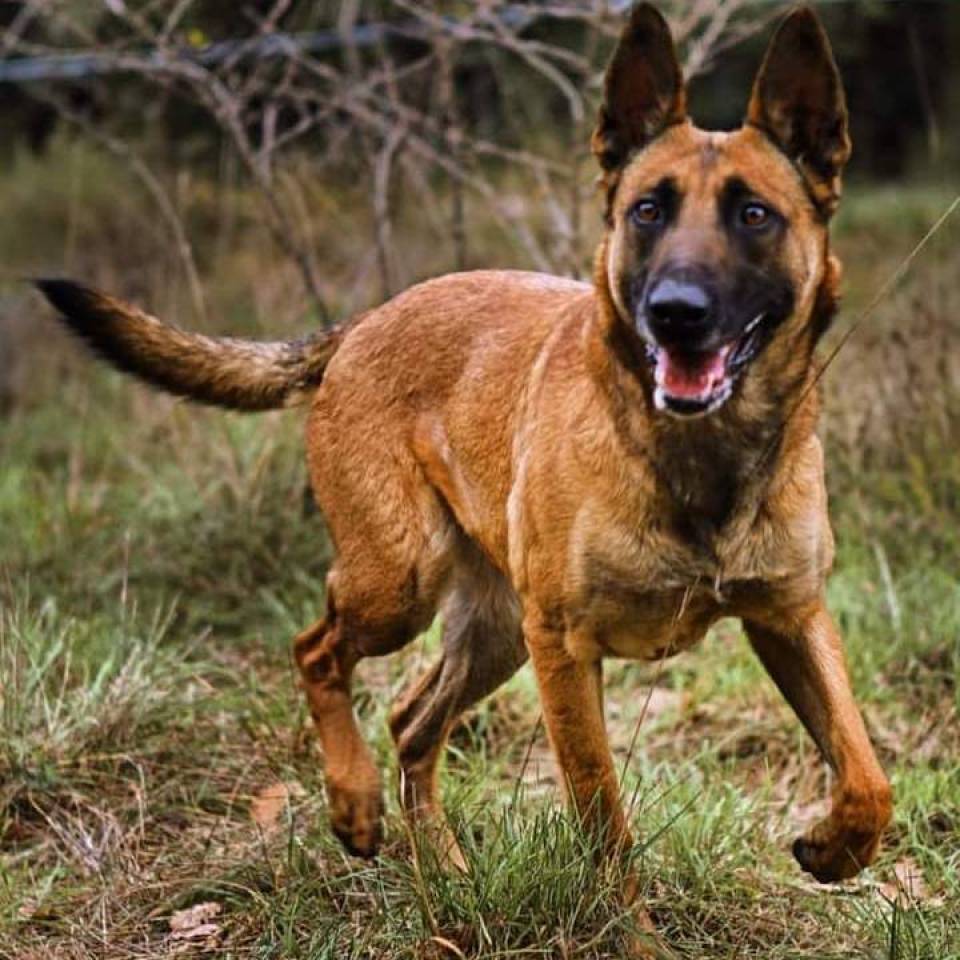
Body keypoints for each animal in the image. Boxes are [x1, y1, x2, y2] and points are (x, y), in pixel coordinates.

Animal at [35, 5, 892, 952]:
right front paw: (635, 939)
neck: (698, 456)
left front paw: (834, 849)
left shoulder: (790, 617)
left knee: (412, 724)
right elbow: (604, 821)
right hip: (401, 583)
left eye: (753, 214)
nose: (675, 313)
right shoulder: (565, 650)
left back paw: (443, 872)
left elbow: (867, 775)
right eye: (646, 211)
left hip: (494, 630)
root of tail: (363, 322)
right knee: (317, 650)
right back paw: (354, 804)